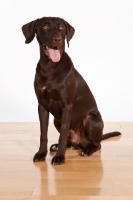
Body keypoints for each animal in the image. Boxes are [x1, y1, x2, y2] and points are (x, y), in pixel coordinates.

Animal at [21, 16, 120, 165]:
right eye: (45, 27)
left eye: (61, 28)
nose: (57, 39)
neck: (50, 67)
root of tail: (79, 143)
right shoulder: (42, 106)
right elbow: (43, 133)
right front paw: (41, 154)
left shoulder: (66, 106)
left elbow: (62, 134)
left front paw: (60, 158)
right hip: (57, 119)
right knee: (68, 140)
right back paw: (57, 146)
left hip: (90, 119)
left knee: (97, 144)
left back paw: (87, 150)